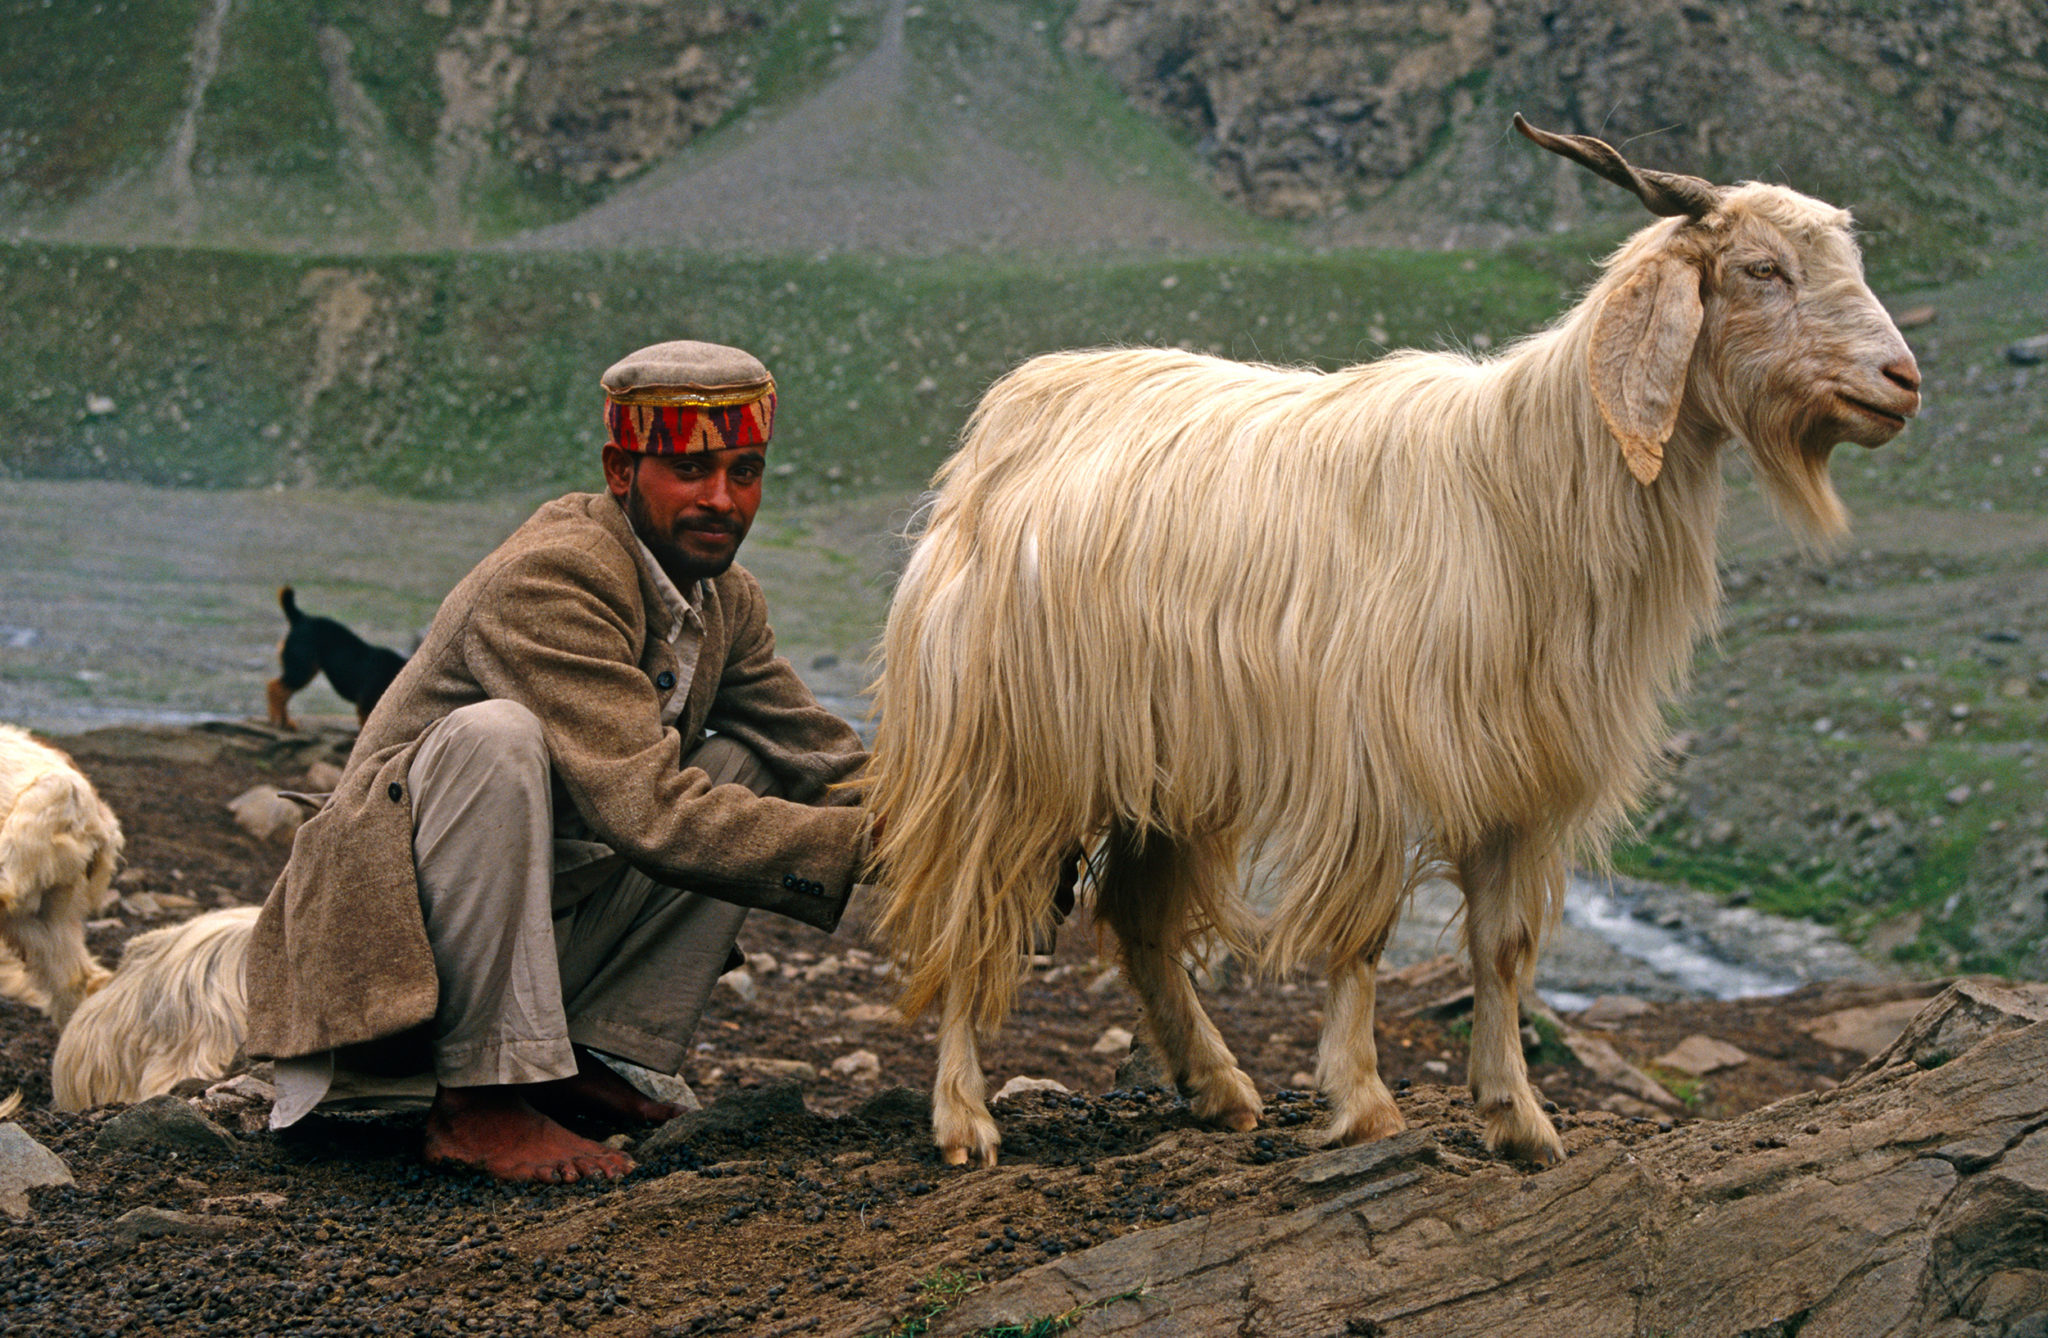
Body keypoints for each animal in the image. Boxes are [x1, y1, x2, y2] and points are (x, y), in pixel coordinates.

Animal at [264, 586, 407, 729]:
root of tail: (301, 619)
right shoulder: (366, 706)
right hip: (301, 670)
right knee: (275, 687)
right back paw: (278, 720)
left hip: (304, 670)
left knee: (283, 692)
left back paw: (285, 721)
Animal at [864, 119, 1916, 1163]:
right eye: (1761, 268)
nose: (1902, 381)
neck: (1521, 482)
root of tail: (988, 442)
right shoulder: (1369, 759)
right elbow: (1364, 933)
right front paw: (1363, 1101)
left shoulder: (1518, 774)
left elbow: (1502, 947)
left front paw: (1518, 1117)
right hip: (1001, 749)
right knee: (967, 910)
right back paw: (963, 1117)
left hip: (1168, 765)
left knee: (1138, 918)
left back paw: (1217, 1087)